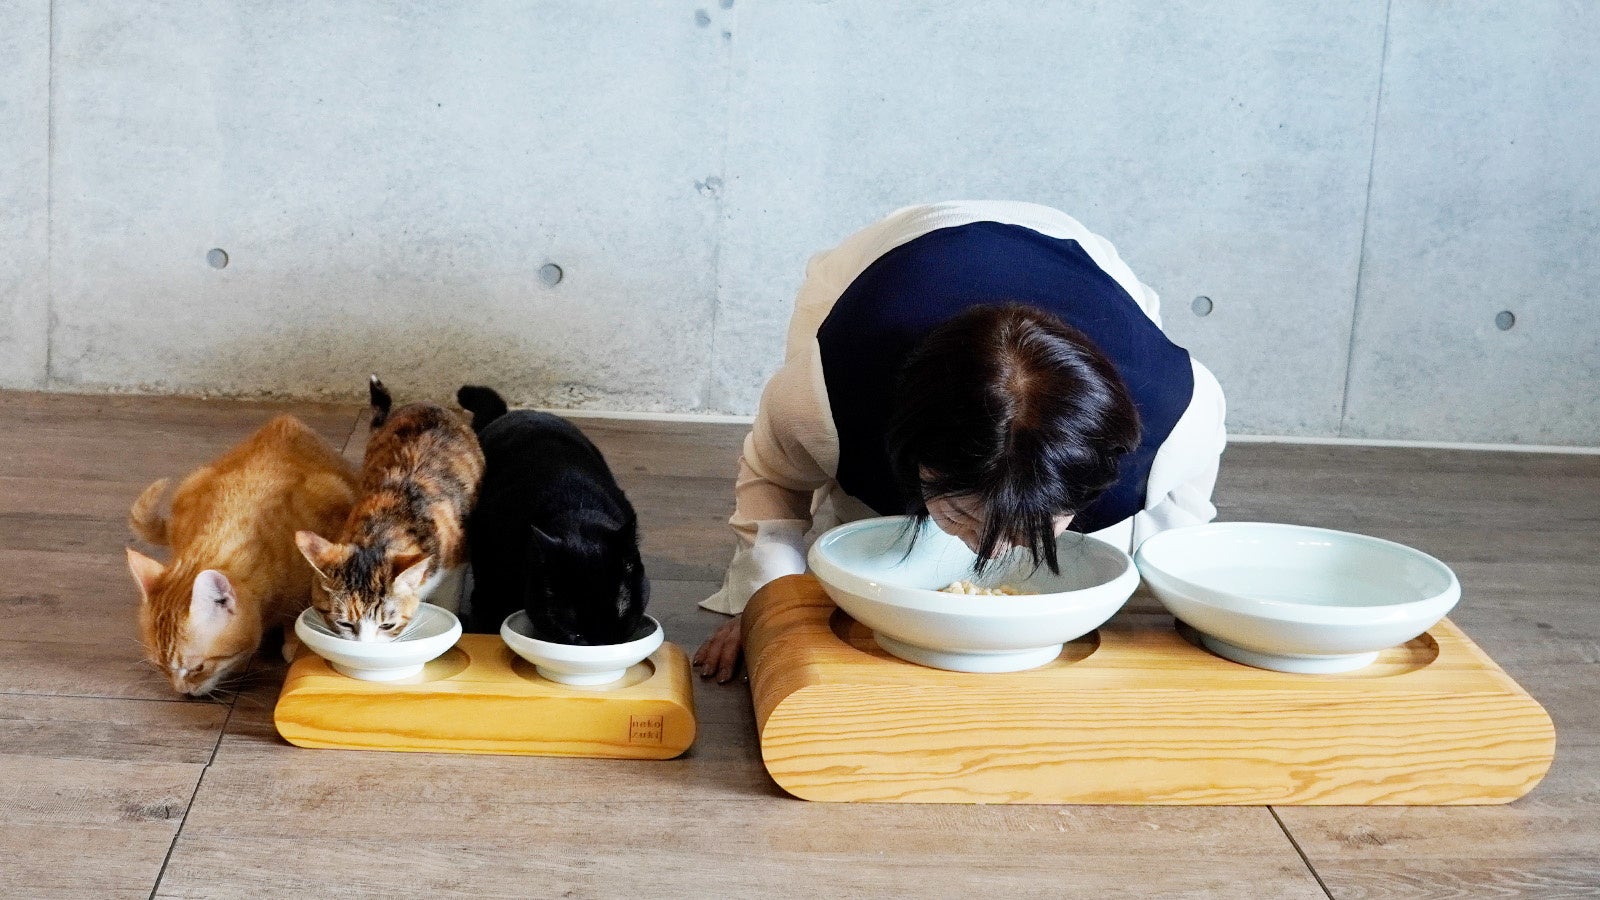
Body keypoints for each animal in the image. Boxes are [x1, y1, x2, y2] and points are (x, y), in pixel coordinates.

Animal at [127, 414, 359, 696]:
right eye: (161, 668)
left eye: (198, 668)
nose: (182, 691)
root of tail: (285, 419)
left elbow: (298, 608)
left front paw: (294, 642)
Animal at [294, 376, 484, 641]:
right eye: (344, 623)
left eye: (387, 625)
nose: (364, 646)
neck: (386, 525)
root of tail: (426, 404)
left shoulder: (454, 567)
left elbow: (449, 601)